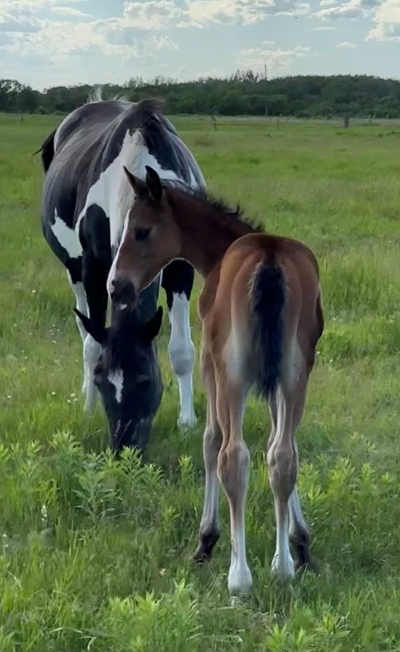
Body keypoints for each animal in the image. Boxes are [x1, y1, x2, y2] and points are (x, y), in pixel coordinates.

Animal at [38, 95, 205, 454]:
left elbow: (182, 350)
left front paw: (187, 422)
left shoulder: (180, 270)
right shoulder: (94, 269)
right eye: (102, 379)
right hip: (74, 270)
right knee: (85, 331)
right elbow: (95, 341)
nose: (124, 449)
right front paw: (90, 407)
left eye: (145, 378)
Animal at [106, 165, 324, 595]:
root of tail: (269, 261)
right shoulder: (279, 379)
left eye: (141, 230)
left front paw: (207, 538)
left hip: (232, 375)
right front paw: (298, 543)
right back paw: (282, 569)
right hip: (295, 373)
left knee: (232, 456)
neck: (221, 252)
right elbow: (279, 445)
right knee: (282, 456)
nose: (116, 285)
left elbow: (210, 441)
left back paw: (239, 577)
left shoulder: (210, 366)